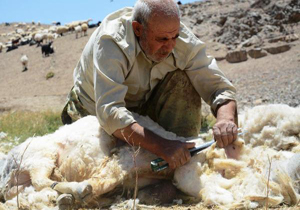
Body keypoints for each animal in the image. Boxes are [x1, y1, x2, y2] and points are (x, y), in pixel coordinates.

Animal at [0, 104, 298, 209]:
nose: (275, 195)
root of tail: (7, 170)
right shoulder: (124, 158)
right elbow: (100, 179)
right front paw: (83, 190)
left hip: (26, 179)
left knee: (36, 189)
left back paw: (64, 197)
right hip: (40, 155)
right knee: (43, 180)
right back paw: (69, 191)